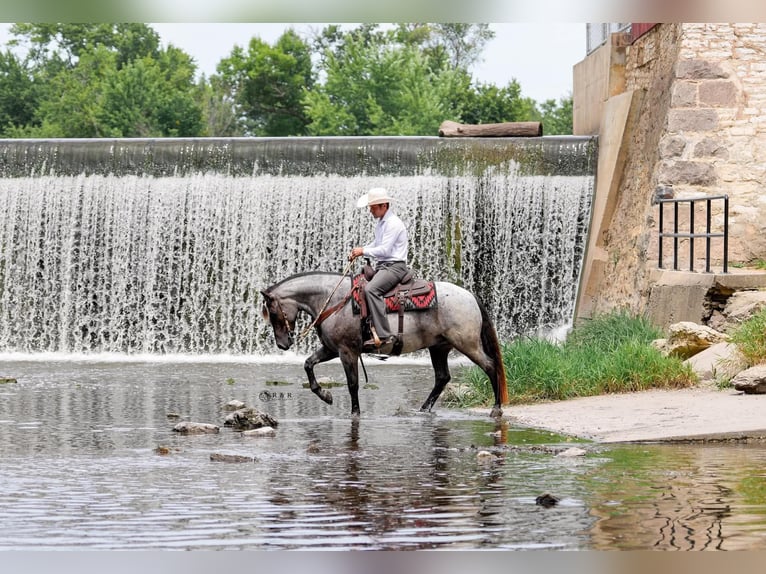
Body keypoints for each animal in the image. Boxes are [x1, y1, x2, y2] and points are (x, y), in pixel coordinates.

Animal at [260, 271, 508, 418]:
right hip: (439, 347)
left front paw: (355, 413)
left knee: (490, 366)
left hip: (467, 344)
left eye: (273, 312)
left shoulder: (347, 351)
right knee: (442, 377)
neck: (334, 300)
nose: (282, 344)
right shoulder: (332, 349)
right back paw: (423, 410)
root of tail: (470, 296)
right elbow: (308, 364)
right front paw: (325, 396)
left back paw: (496, 408)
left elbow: (352, 384)